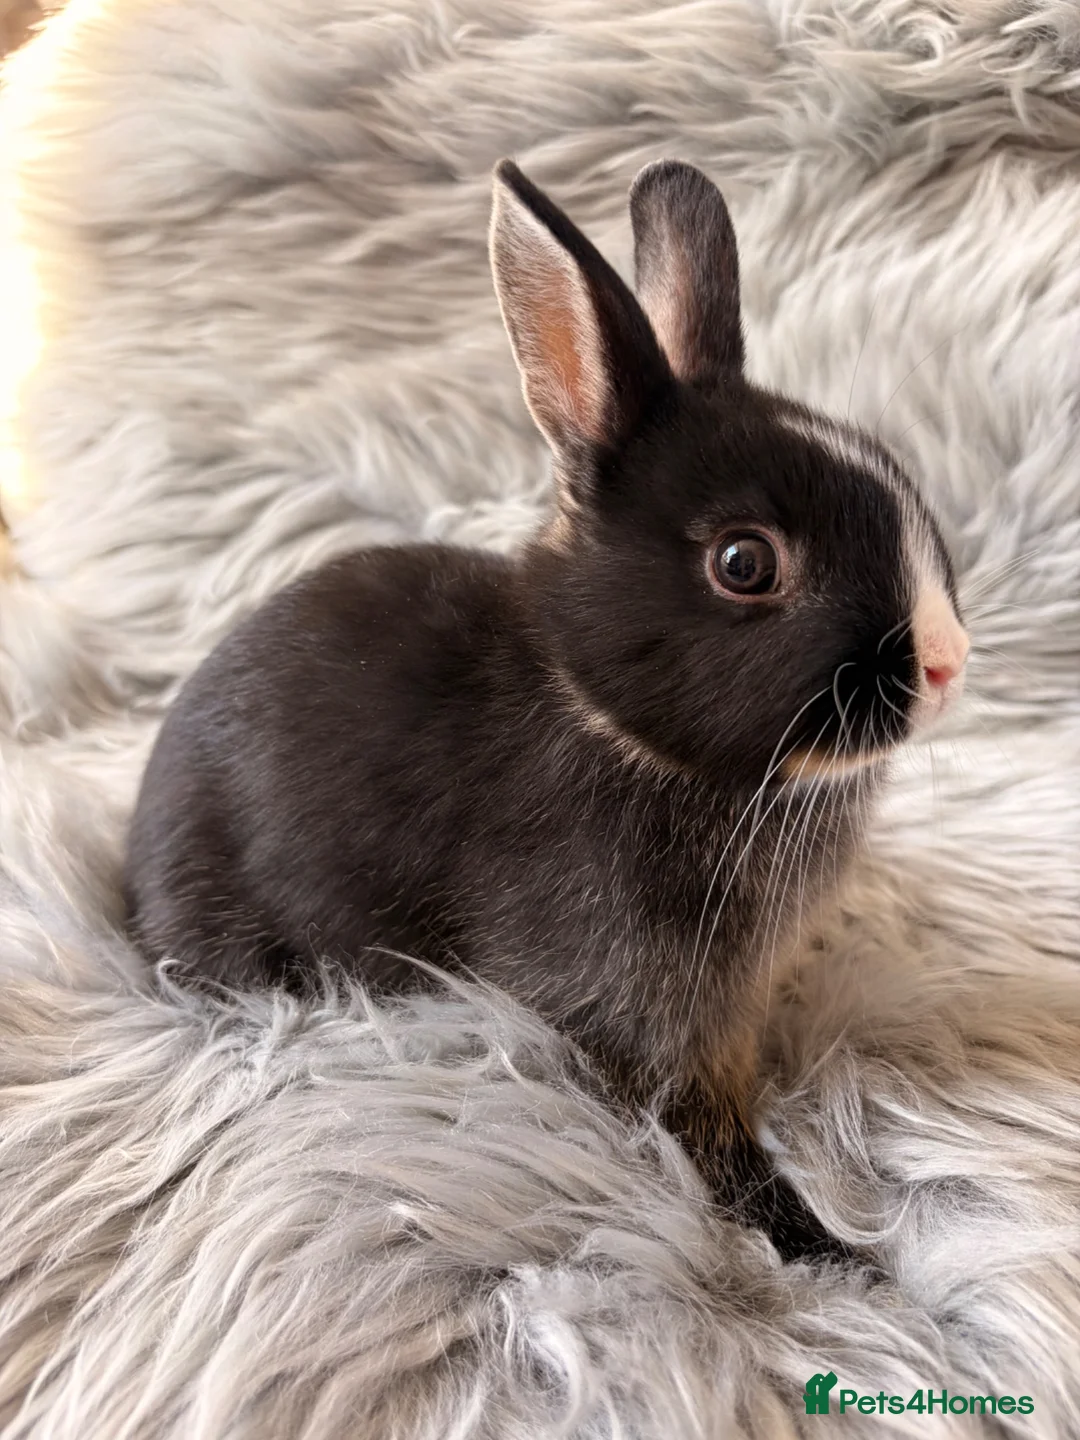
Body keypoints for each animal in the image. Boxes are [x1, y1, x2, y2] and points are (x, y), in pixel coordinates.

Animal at [124, 159, 969, 1262]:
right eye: (745, 563)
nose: (949, 662)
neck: (618, 726)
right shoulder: (642, 1008)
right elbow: (706, 1134)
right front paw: (817, 1246)